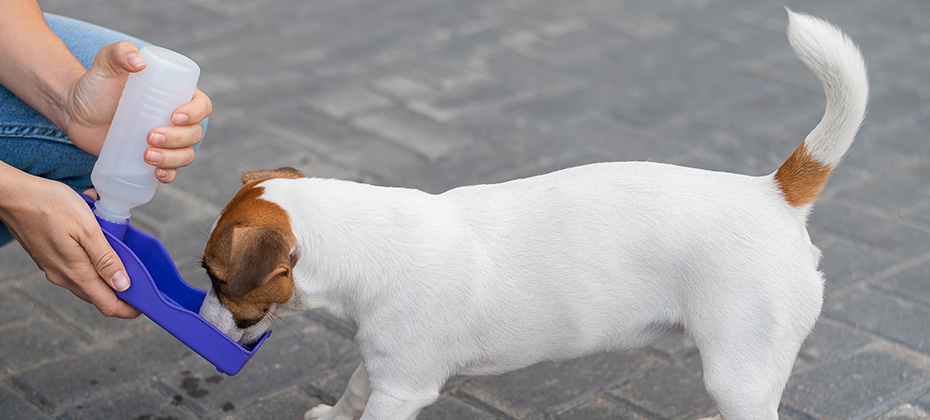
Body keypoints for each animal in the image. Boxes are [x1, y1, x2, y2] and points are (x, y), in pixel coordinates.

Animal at [199, 9, 868, 420]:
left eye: (214, 277)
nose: (200, 320)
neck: (368, 241)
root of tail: (772, 192)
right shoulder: (379, 367)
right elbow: (351, 391)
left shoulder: (403, 387)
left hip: (740, 370)